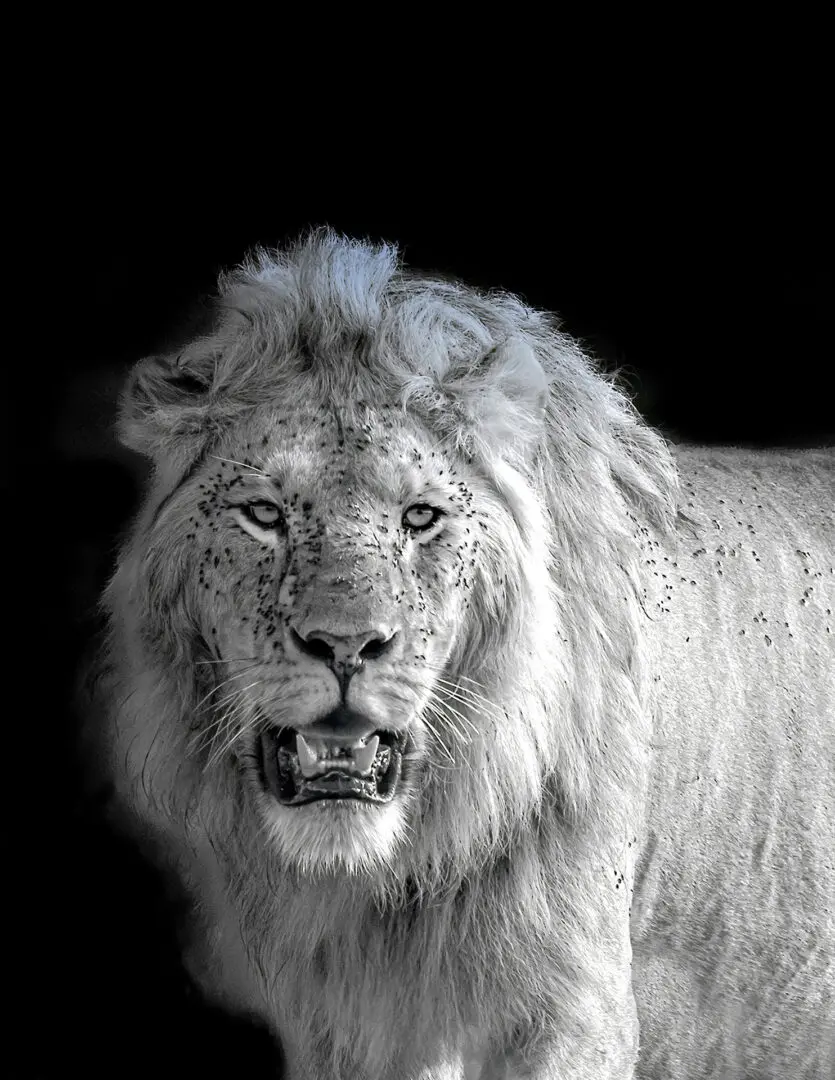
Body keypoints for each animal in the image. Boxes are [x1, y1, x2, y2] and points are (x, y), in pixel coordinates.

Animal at [86, 230, 833, 1080]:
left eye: (419, 517)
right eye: (265, 514)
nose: (346, 644)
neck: (390, 878)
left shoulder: (576, 1006)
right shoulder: (339, 1027)